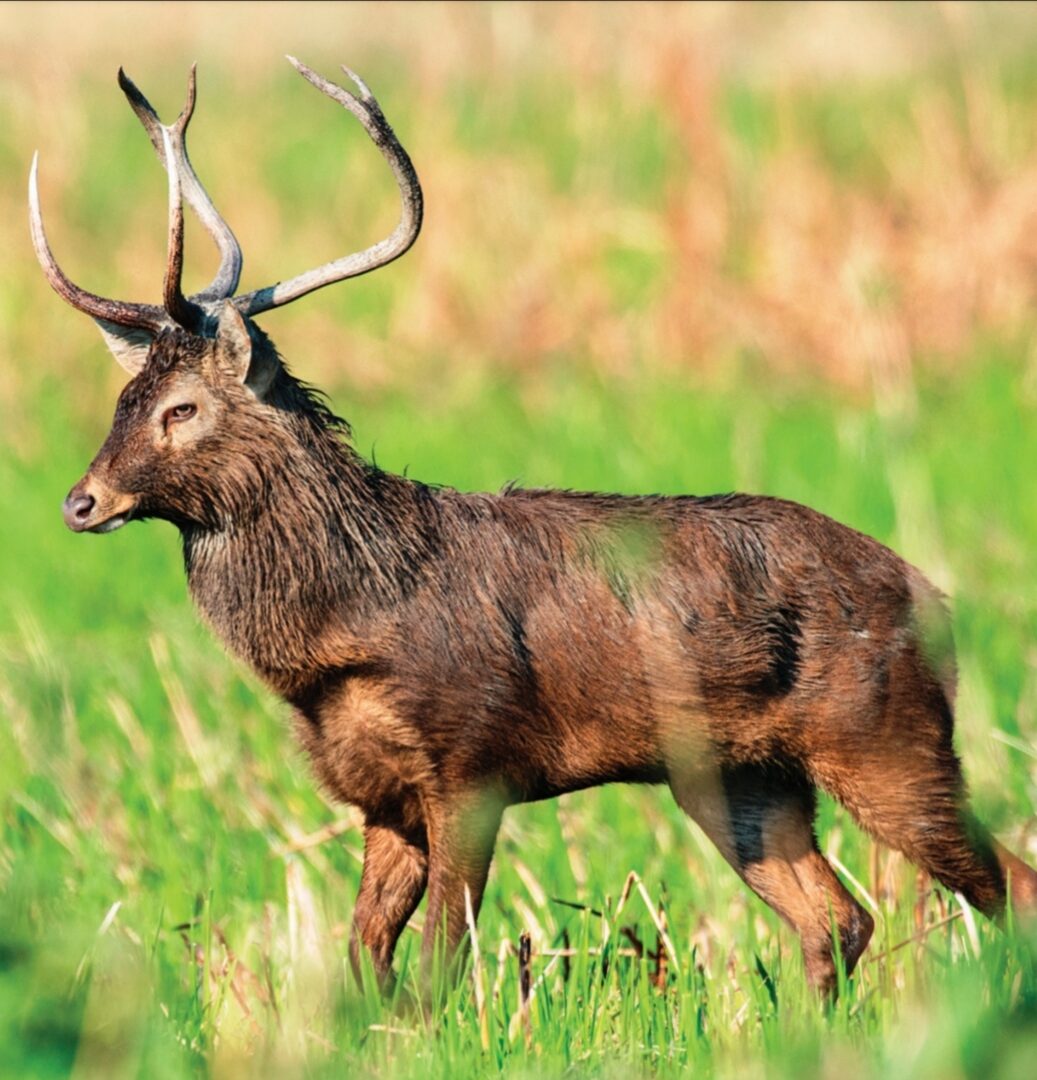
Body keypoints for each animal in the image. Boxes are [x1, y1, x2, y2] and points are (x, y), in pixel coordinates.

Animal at [30, 59, 1037, 997]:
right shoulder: (377, 793)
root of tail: (932, 597)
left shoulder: (473, 761)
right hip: (741, 774)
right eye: (125, 398)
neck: (346, 622)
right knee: (837, 918)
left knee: (1002, 885)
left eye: (183, 408)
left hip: (887, 735)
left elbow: (438, 962)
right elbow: (365, 962)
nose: (80, 502)